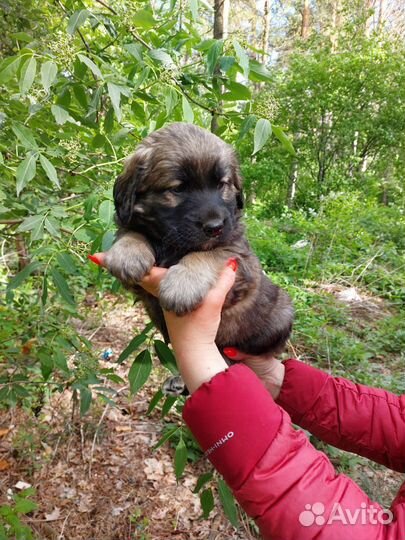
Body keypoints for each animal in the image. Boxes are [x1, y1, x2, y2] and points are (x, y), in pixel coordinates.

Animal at [105, 124, 292, 356]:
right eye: (178, 188)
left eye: (222, 184)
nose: (215, 227)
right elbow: (131, 232)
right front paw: (127, 254)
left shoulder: (239, 256)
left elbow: (208, 254)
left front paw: (182, 284)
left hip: (283, 311)